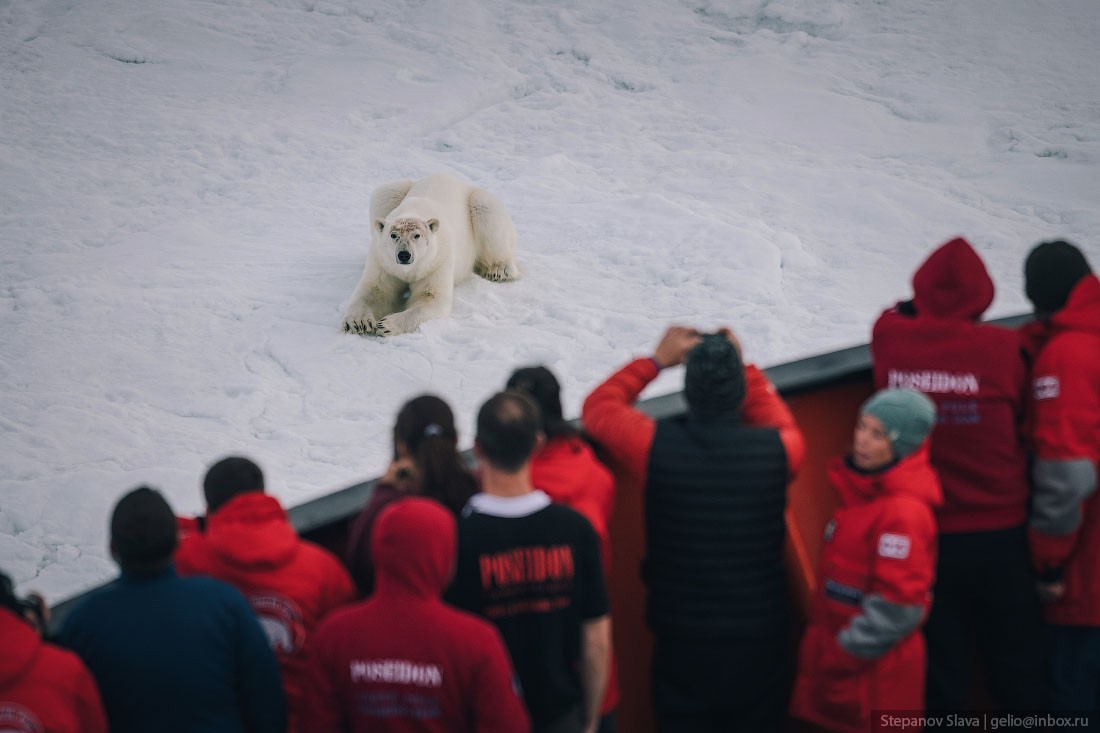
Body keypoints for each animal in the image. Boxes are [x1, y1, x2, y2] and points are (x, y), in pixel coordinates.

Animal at [338, 172, 519, 334]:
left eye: (417, 235)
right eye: (393, 235)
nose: (404, 255)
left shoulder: (436, 262)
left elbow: (431, 298)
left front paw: (387, 325)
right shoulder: (383, 262)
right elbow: (375, 291)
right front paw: (357, 323)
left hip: (479, 202)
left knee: (487, 214)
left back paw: (499, 270)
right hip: (392, 193)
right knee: (384, 194)